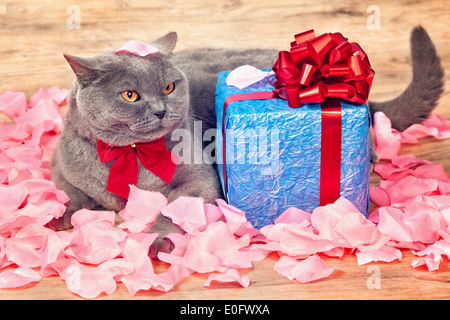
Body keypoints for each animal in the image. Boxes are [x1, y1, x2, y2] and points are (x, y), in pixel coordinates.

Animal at [49, 26, 442, 258]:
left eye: (169, 87)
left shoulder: (199, 180)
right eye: (130, 95)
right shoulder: (60, 165)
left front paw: (157, 239)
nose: (162, 110)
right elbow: (69, 192)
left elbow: (171, 208)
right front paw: (62, 216)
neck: (132, 155)